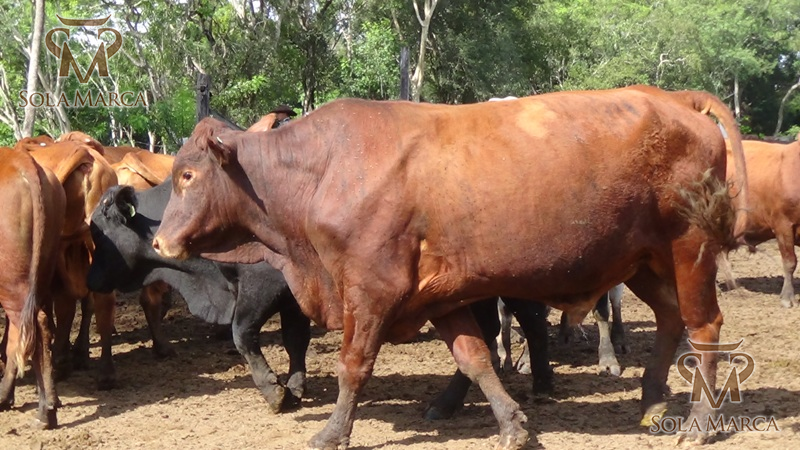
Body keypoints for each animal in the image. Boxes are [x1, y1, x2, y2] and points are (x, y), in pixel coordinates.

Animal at [86, 182, 310, 412]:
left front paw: (272, 391)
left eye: (98, 234)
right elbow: (296, 340)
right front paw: (295, 387)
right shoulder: (293, 300)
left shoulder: (262, 285)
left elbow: (243, 335)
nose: (90, 280)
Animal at [152, 86, 748, 449]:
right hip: (644, 260)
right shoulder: (437, 294)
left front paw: (332, 432)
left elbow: (353, 366)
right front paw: (513, 424)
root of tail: (675, 97)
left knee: (703, 326)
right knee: (671, 319)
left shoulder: (371, 289)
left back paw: (699, 422)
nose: (158, 240)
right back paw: (651, 401)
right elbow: (475, 358)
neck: (326, 168)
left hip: (689, 248)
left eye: (187, 176)